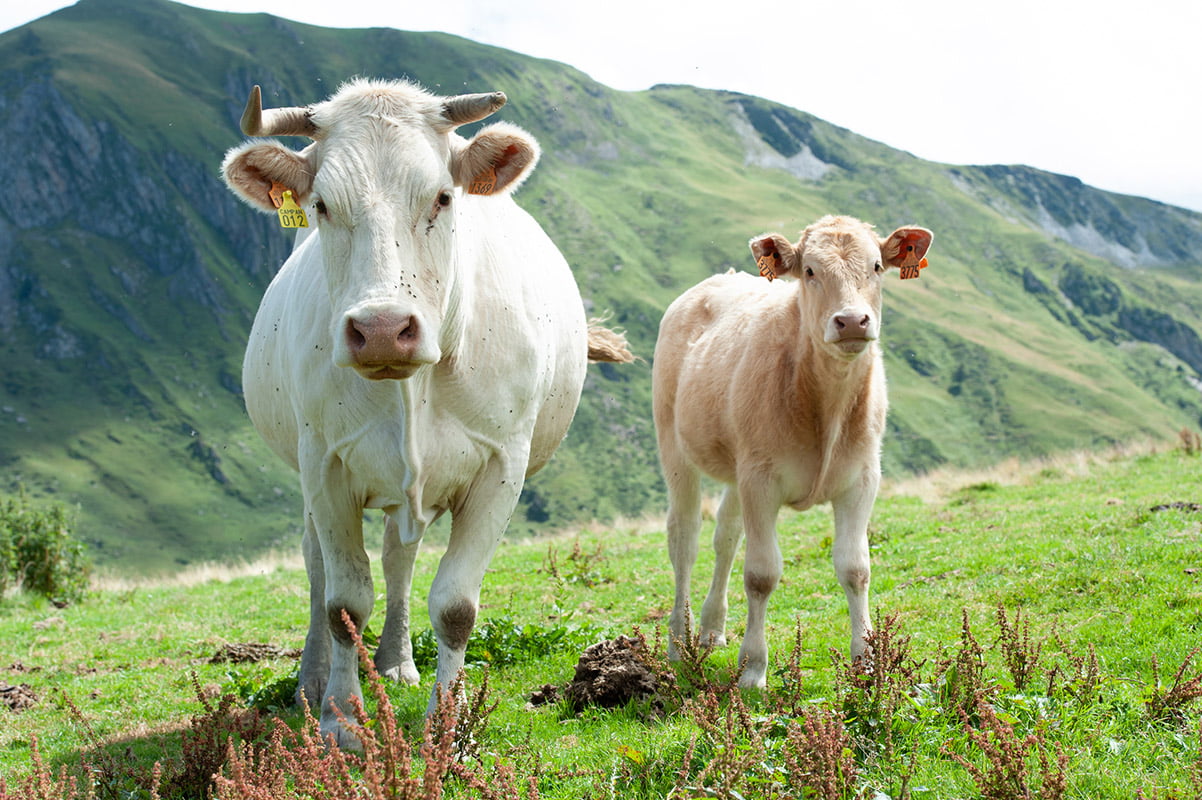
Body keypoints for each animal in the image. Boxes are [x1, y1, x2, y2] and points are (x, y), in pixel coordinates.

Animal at [221, 79, 629, 739]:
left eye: (442, 196)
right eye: (322, 205)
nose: (383, 329)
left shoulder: (502, 465)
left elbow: (455, 605)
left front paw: (447, 726)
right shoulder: (325, 465)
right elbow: (343, 603)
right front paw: (339, 722)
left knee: (399, 557)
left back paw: (396, 663)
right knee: (317, 567)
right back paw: (311, 681)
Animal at [653, 213, 932, 687]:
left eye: (877, 266)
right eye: (810, 271)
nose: (852, 321)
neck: (826, 407)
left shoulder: (862, 478)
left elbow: (855, 568)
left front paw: (866, 663)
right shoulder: (761, 479)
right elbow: (762, 574)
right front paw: (753, 669)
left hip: (736, 465)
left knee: (726, 536)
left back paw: (711, 629)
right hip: (674, 445)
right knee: (684, 538)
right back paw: (678, 640)